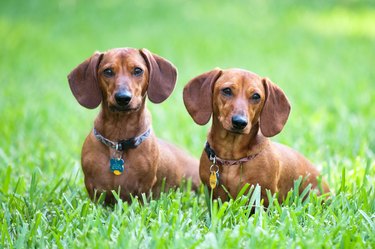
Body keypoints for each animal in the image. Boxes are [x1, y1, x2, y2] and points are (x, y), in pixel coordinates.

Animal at [69, 47, 201, 204]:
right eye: (108, 71)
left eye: (138, 70)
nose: (123, 98)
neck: (119, 140)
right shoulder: (94, 190)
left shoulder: (143, 189)